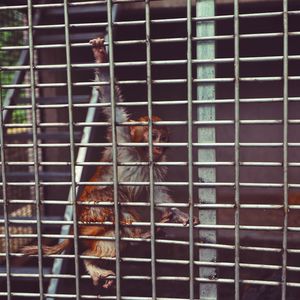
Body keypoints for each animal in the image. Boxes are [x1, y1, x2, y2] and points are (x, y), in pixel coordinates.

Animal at [22, 36, 198, 290]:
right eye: (153, 135)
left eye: (163, 138)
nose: (159, 144)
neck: (140, 155)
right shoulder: (122, 140)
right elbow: (110, 100)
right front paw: (100, 56)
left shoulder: (155, 166)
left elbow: (157, 195)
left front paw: (180, 215)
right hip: (90, 216)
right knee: (112, 197)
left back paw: (94, 259)